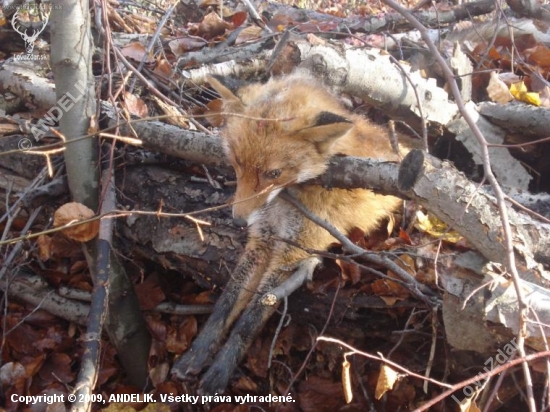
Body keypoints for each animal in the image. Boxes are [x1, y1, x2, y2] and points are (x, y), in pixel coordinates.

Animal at [170, 72, 404, 394]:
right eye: (238, 163)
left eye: (274, 174)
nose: (239, 222)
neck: (285, 201)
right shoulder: (264, 238)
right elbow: (225, 304)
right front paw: (196, 354)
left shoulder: (293, 251)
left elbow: (249, 321)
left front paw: (218, 374)